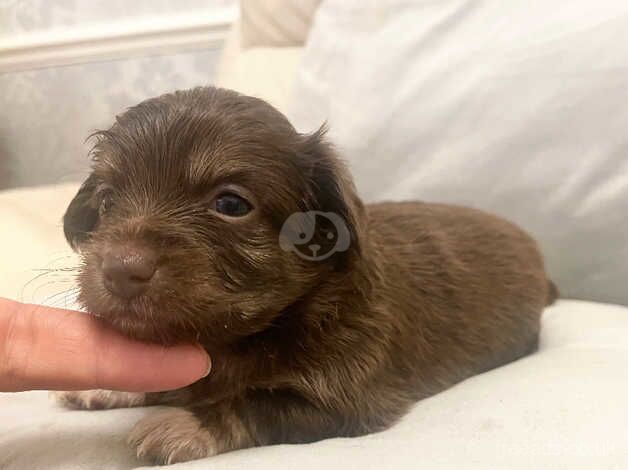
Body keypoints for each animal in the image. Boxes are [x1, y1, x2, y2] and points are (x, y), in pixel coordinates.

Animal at [56, 86, 556, 464]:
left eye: (231, 204)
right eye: (106, 201)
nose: (120, 270)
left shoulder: (345, 398)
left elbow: (256, 404)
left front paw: (186, 422)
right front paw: (104, 387)